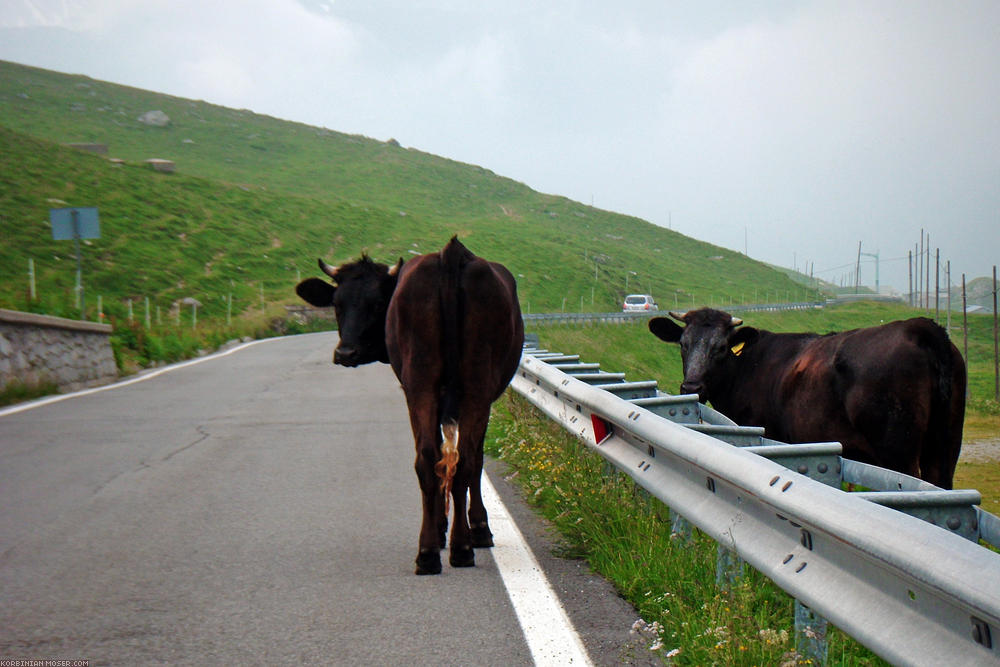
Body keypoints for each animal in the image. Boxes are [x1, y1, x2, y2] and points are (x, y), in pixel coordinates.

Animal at [294, 239, 524, 576]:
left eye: (378, 304)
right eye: (337, 303)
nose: (346, 352)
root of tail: (451, 253)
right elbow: (465, 460)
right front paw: (475, 528)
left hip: (423, 386)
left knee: (429, 459)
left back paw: (430, 552)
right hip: (469, 389)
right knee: (463, 460)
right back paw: (459, 546)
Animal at [648, 310, 968, 490]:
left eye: (722, 347)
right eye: (683, 344)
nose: (691, 386)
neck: (747, 366)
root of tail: (920, 327)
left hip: (898, 449)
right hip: (946, 447)